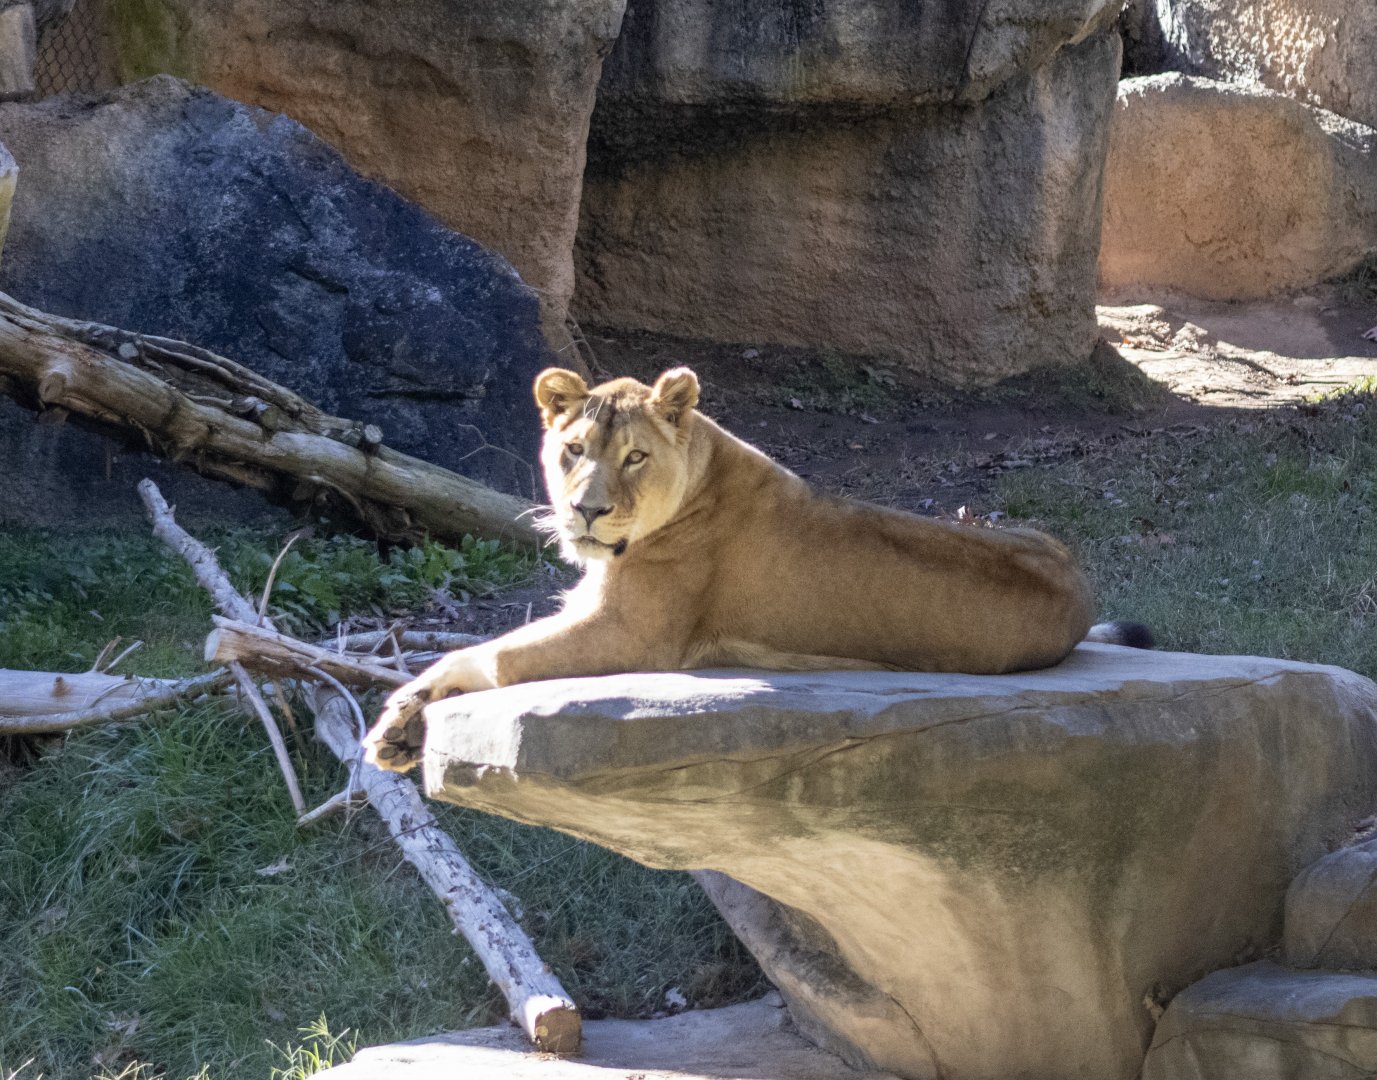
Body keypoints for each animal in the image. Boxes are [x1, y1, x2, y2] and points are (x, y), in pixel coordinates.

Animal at [362, 365, 1148, 771]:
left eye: (634, 457)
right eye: (574, 450)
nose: (585, 511)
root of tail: (1078, 582)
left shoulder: (632, 633)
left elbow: (493, 656)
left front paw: (402, 720)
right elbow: (479, 647)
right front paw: (400, 718)